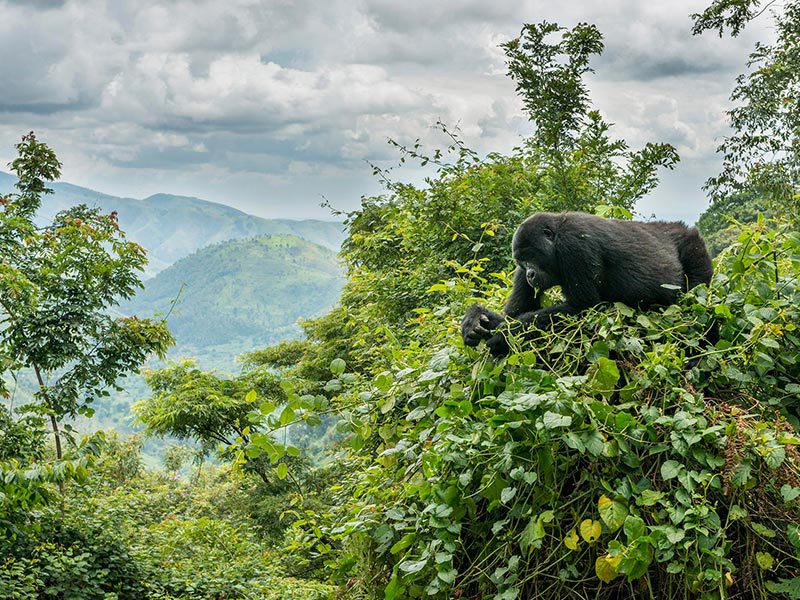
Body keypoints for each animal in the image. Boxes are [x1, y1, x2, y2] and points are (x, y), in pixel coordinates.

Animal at [460, 211, 716, 356]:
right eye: (521, 261)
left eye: (531, 256)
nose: (530, 274)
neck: (556, 233)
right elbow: (517, 311)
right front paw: (475, 319)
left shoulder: (574, 244)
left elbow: (583, 308)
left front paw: (504, 334)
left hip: (694, 249)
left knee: (698, 307)